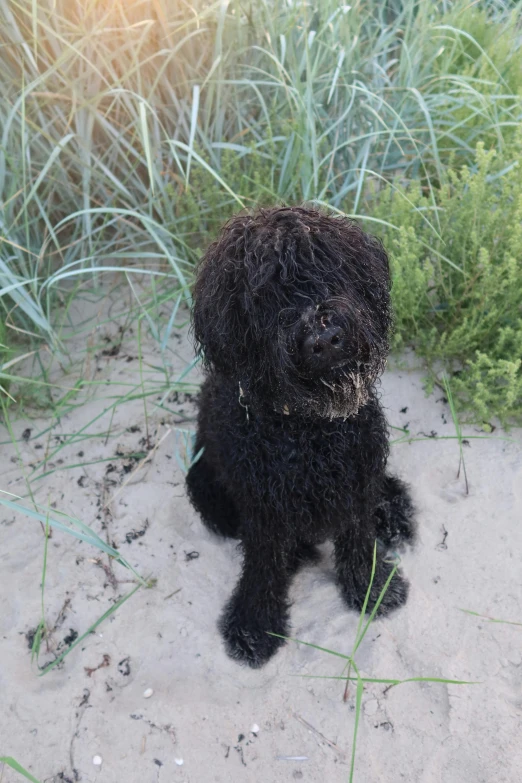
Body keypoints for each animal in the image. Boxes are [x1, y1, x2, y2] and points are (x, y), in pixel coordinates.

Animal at [185, 207, 412, 668]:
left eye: (325, 267)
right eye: (260, 297)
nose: (323, 337)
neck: (310, 432)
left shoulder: (355, 481)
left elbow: (359, 540)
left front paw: (372, 588)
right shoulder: (264, 507)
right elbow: (263, 566)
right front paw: (254, 624)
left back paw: (393, 511)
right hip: (205, 488)